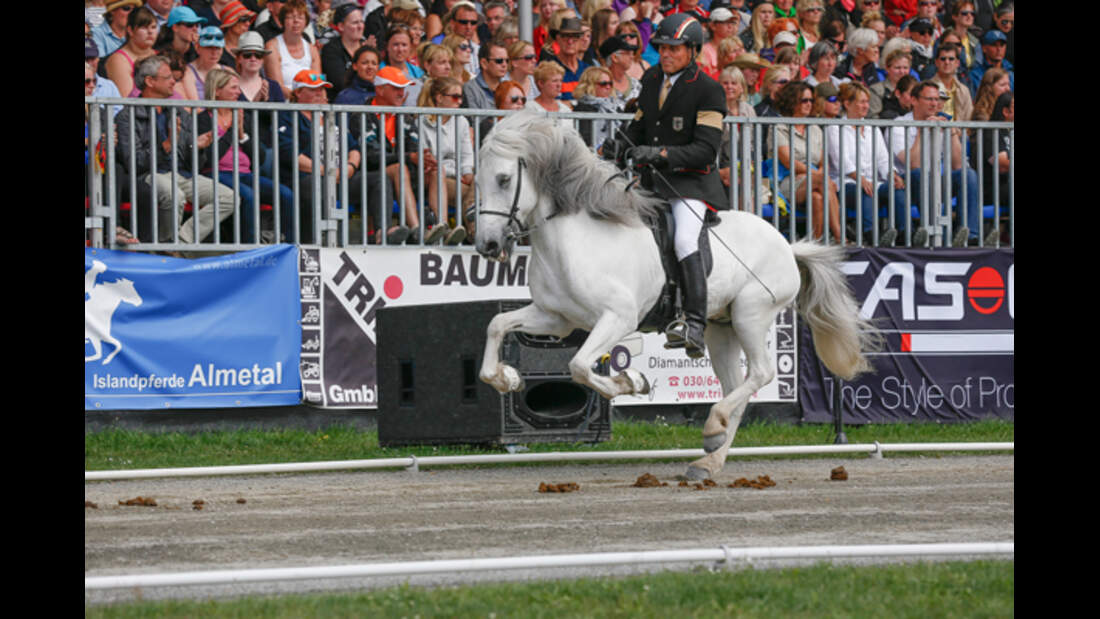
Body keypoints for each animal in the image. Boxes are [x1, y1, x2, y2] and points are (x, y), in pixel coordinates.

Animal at [473, 111, 879, 481]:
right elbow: (496, 325)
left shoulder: (618, 318)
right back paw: (709, 458)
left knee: (761, 373)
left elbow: (578, 367)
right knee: (738, 389)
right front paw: (506, 379)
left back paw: (712, 428)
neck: (577, 238)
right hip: (721, 329)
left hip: (752, 314)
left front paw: (631, 382)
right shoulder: (555, 318)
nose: (487, 246)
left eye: (504, 179)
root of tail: (786, 245)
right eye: (477, 180)